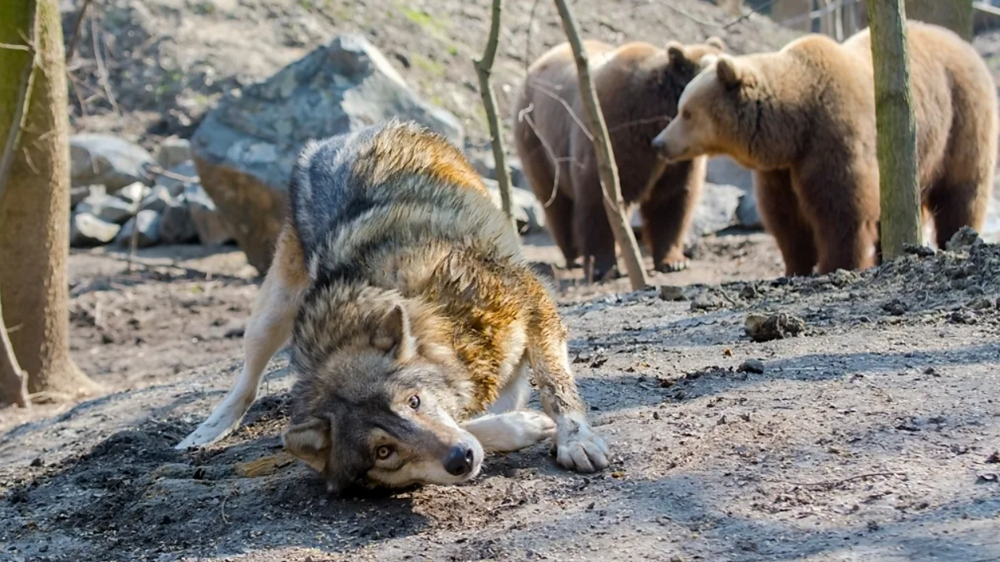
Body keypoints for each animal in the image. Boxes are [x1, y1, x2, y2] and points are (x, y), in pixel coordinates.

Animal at [175, 119, 604, 490]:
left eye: (414, 401)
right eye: (384, 452)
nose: (460, 460)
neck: (437, 318)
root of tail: (341, 136)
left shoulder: (532, 299)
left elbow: (554, 387)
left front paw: (575, 440)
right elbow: (473, 423)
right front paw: (519, 427)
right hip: (272, 315)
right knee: (246, 383)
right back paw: (204, 433)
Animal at [516, 37, 728, 278]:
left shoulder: (677, 160)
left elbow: (671, 200)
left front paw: (673, 261)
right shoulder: (612, 134)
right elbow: (599, 198)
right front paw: (602, 266)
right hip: (537, 139)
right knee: (556, 202)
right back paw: (574, 256)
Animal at [652, 22, 996, 276]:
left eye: (687, 113)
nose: (659, 142)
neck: (794, 126)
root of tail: (965, 46)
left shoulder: (833, 139)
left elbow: (842, 211)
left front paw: (835, 265)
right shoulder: (780, 169)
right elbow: (786, 217)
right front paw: (795, 267)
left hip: (961, 119)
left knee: (962, 193)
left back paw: (956, 238)